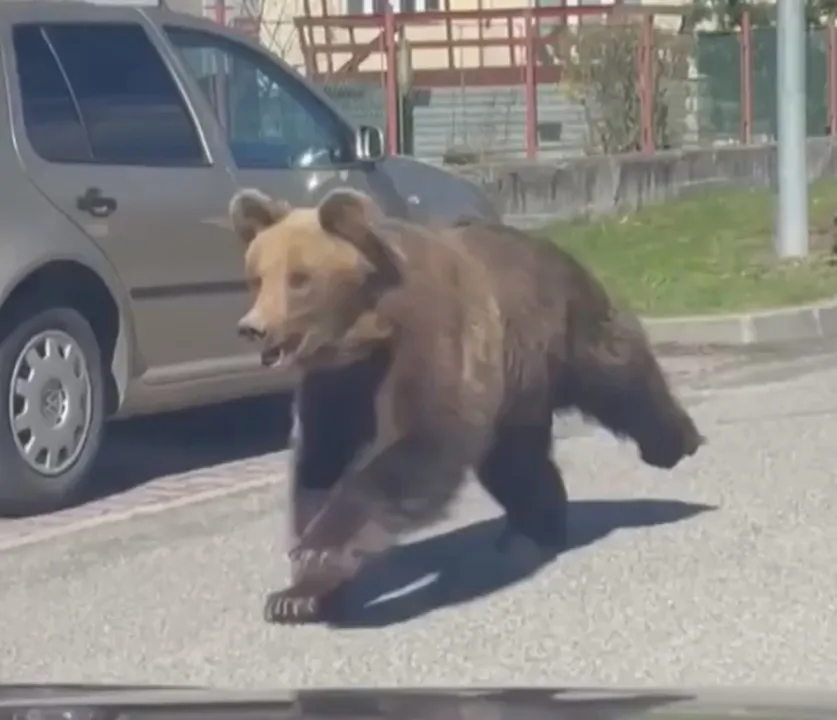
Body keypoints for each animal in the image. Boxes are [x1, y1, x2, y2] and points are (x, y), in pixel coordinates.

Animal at [229, 188, 704, 628]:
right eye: (256, 277)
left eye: (300, 278)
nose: (253, 328)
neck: (367, 332)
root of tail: (550, 245)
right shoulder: (338, 382)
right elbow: (320, 464)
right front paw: (298, 594)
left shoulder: (430, 332)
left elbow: (423, 437)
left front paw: (318, 552)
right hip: (514, 389)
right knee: (515, 463)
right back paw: (533, 531)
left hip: (564, 329)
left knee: (620, 376)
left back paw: (676, 443)